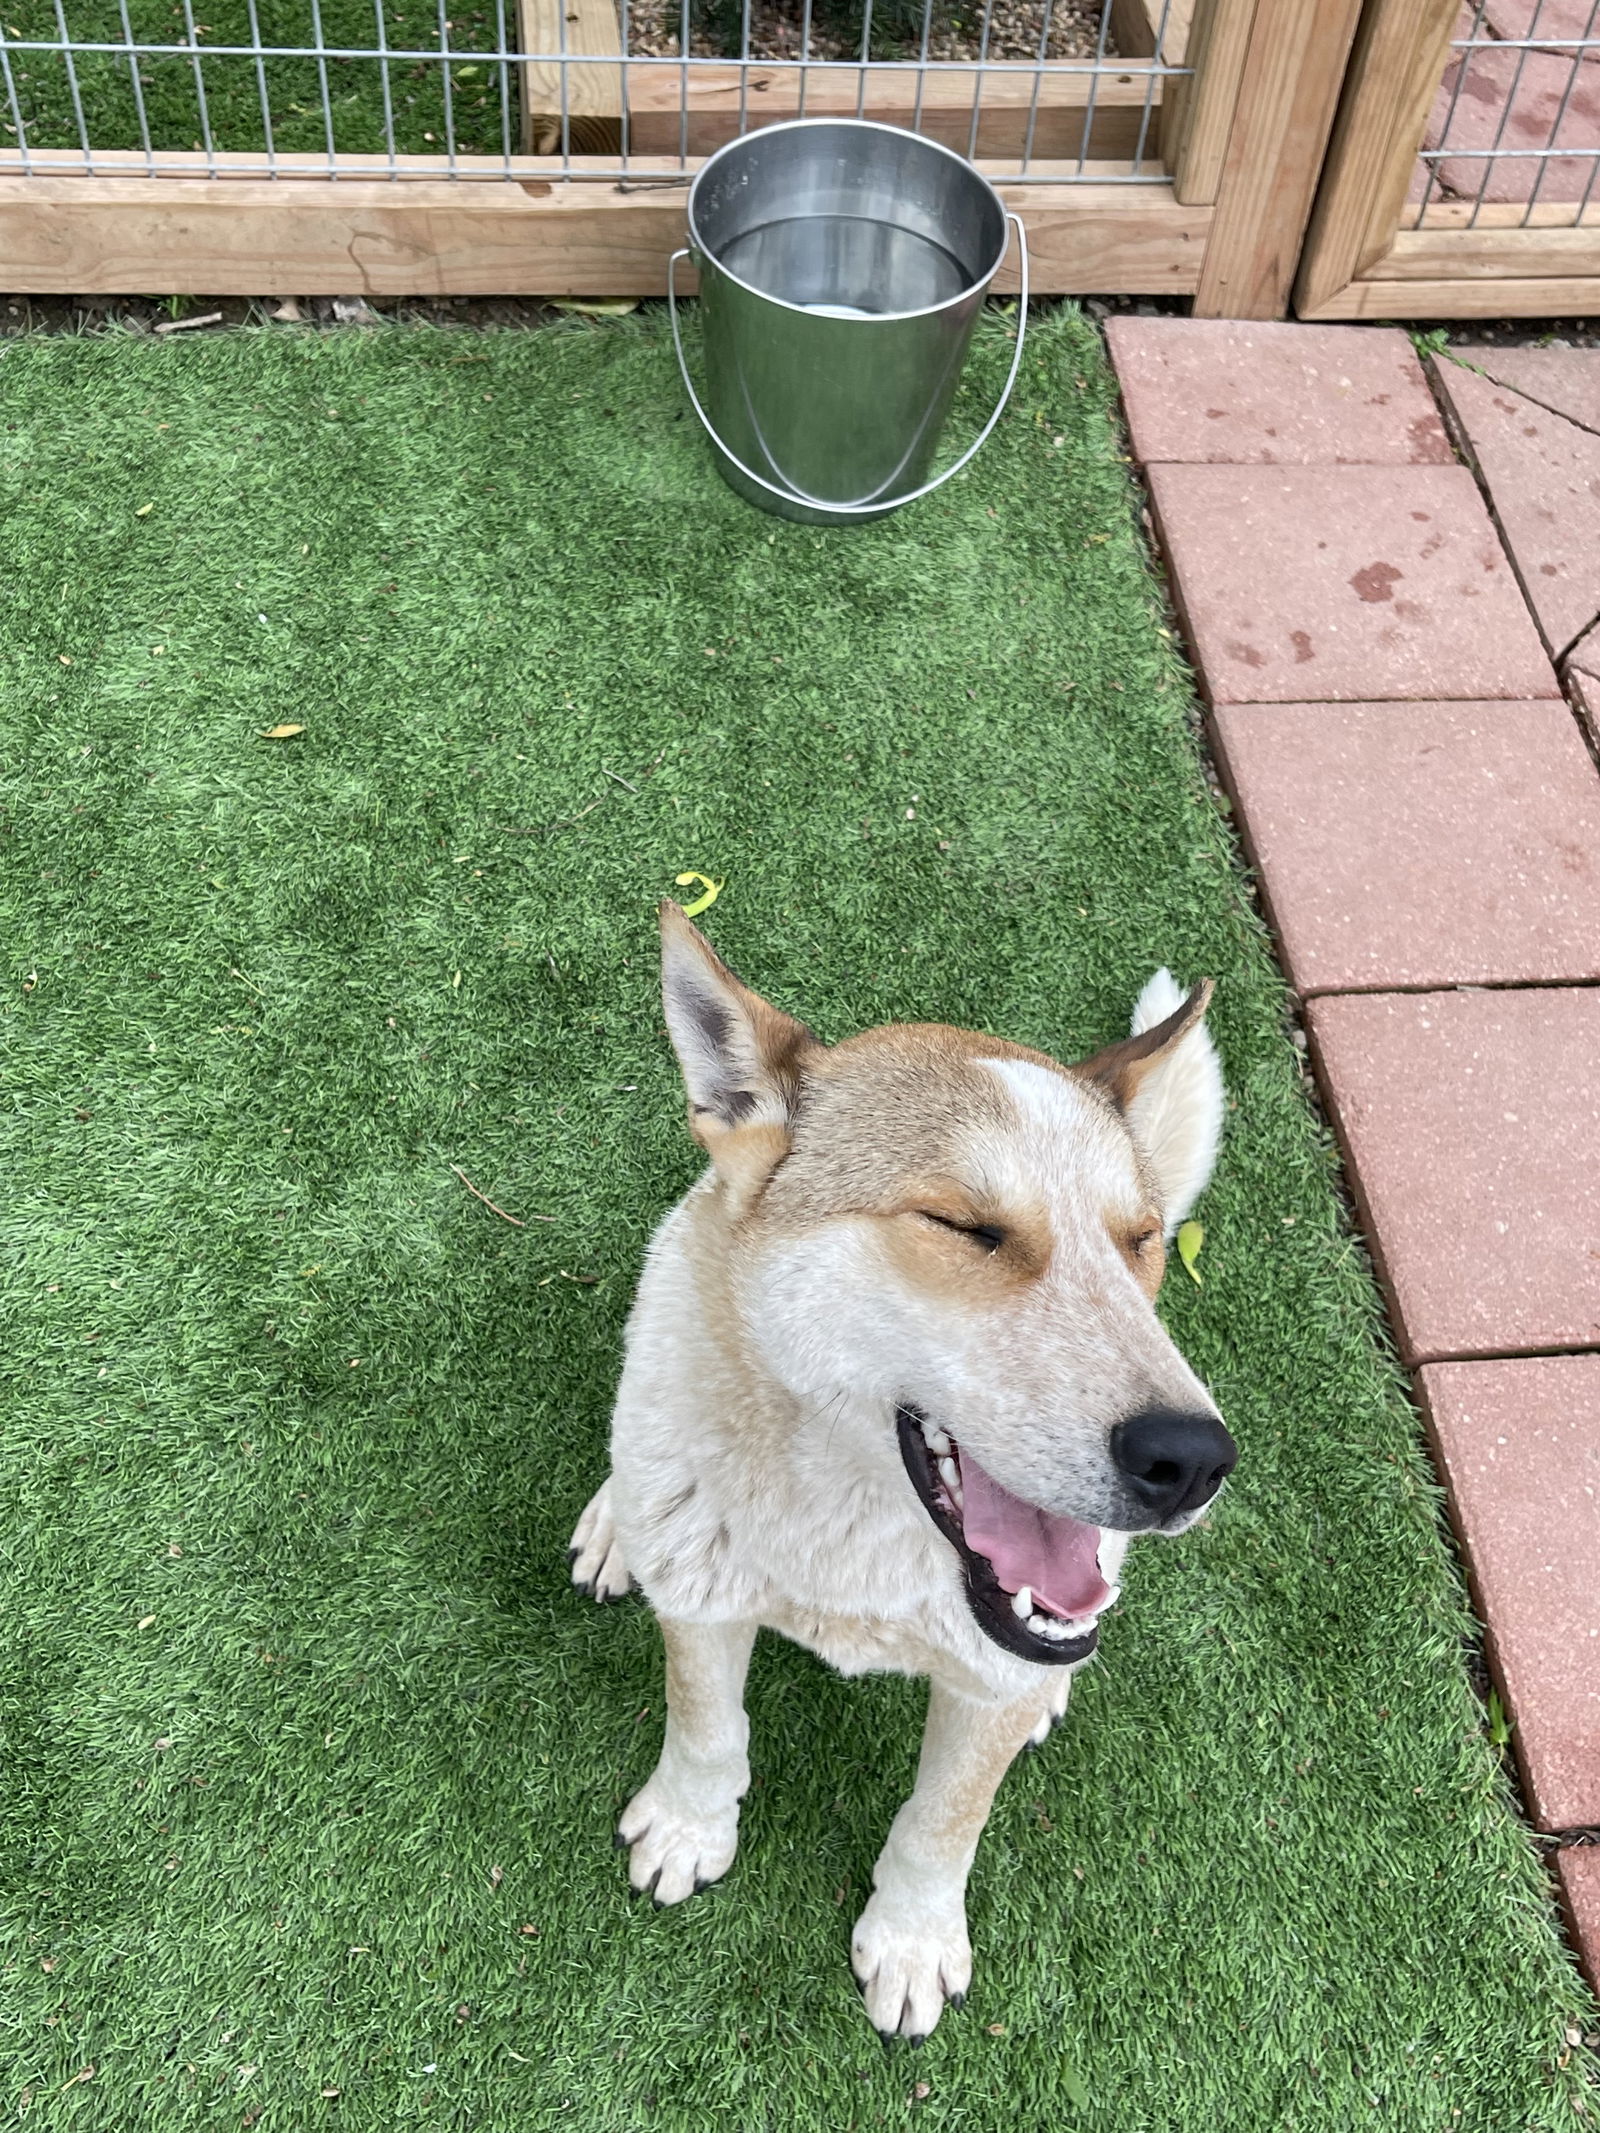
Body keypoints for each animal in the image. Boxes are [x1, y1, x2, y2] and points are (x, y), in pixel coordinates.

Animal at [571, 900, 1237, 2030]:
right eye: (965, 1227)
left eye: (1140, 1240)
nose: (1193, 1459)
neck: (852, 1533)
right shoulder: (706, 1607)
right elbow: (705, 1728)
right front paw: (691, 1825)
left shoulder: (985, 1686)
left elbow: (942, 1821)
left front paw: (912, 1939)